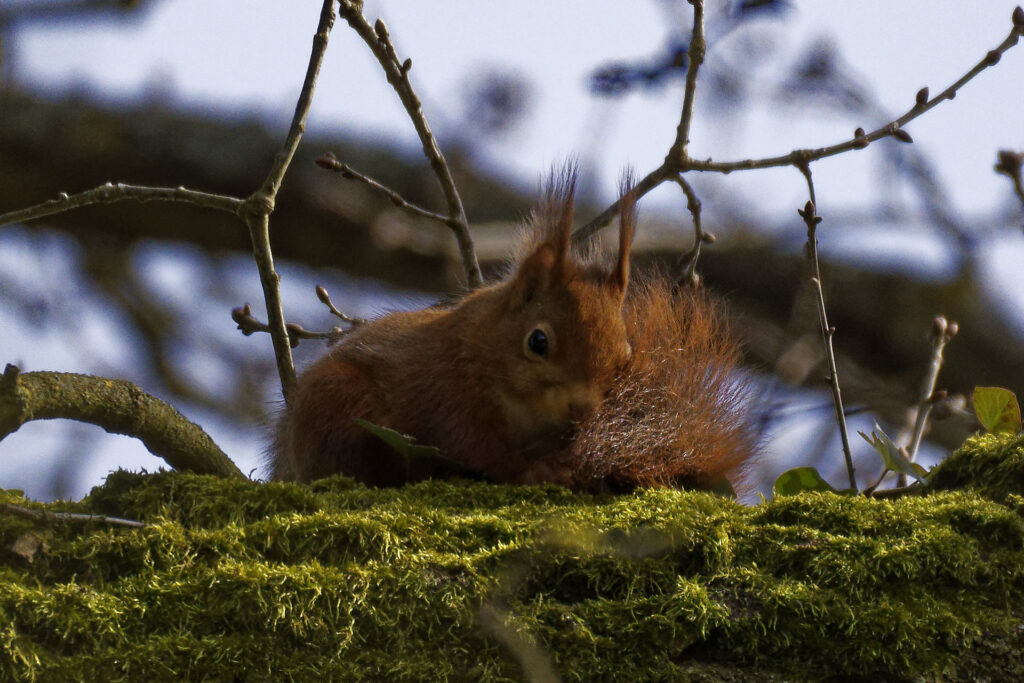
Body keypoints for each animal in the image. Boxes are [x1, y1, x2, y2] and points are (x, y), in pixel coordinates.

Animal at [271, 171, 755, 492]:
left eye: (624, 359)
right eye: (537, 342)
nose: (583, 409)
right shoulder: (448, 389)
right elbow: (478, 447)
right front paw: (535, 471)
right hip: (336, 405)